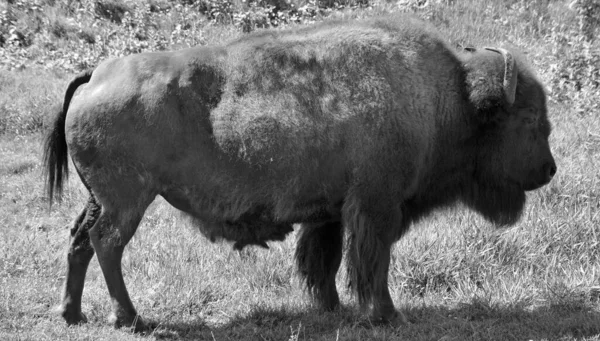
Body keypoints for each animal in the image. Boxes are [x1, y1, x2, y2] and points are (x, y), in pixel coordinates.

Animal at [43, 13, 556, 330]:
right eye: (530, 119)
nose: (549, 170)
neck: (445, 97)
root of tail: (95, 74)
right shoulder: (376, 207)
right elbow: (372, 263)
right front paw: (386, 315)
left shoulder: (331, 213)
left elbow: (322, 261)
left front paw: (330, 308)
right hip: (128, 200)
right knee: (106, 243)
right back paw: (130, 318)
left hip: (99, 197)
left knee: (79, 239)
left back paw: (72, 315)